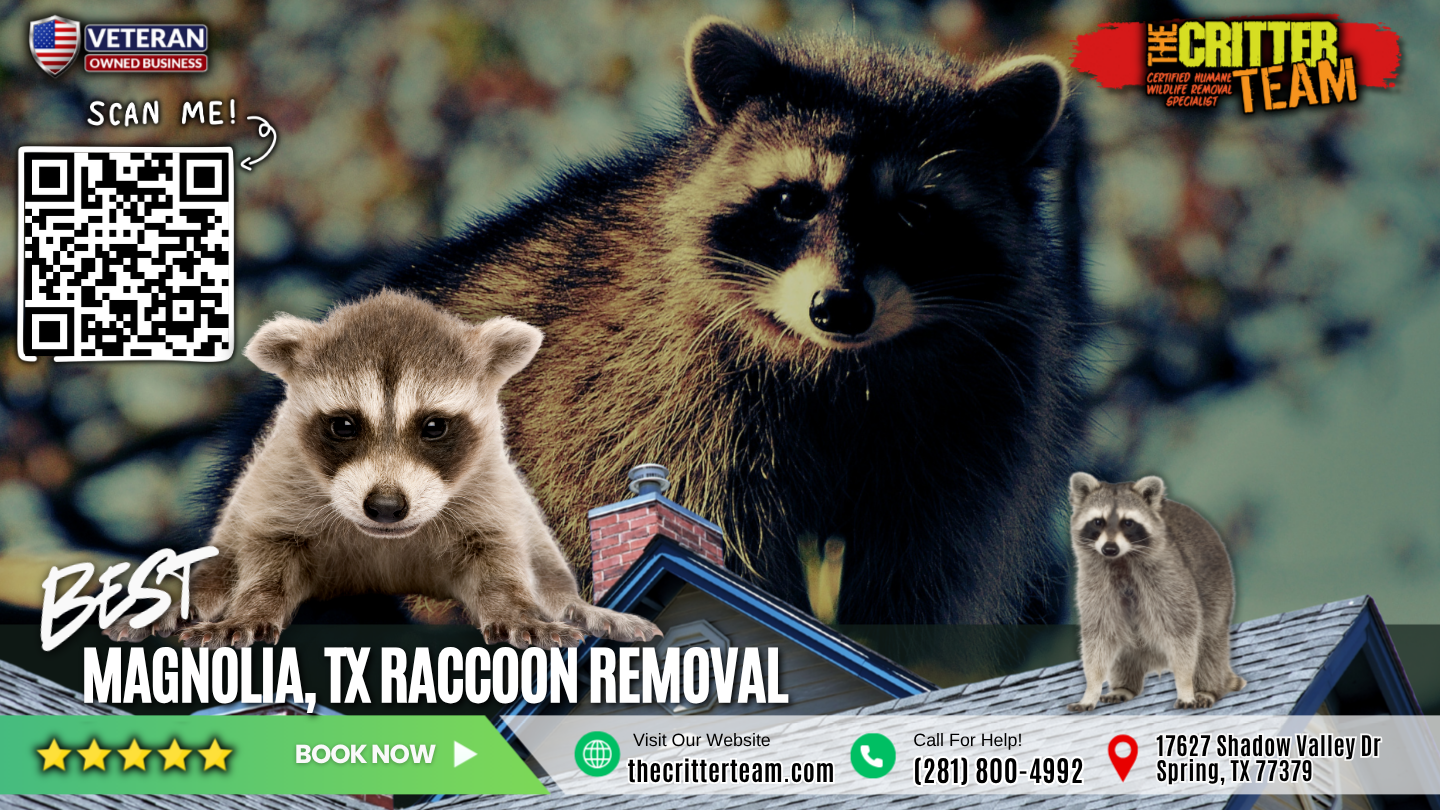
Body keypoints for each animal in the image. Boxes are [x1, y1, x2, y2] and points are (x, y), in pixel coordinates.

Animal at [108, 291, 660, 649]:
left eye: (434, 425)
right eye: (344, 425)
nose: (387, 506)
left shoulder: (487, 490)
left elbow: (497, 560)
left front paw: (517, 609)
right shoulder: (283, 482)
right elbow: (268, 560)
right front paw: (253, 608)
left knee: (545, 565)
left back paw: (578, 606)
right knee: (219, 564)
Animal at [215, 18, 1093, 624]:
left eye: (915, 215)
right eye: (791, 201)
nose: (838, 307)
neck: (844, 366)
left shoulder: (963, 445)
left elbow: (914, 582)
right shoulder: (661, 402)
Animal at [1066, 473, 1245, 711]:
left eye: (1128, 522)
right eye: (1098, 521)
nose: (1109, 549)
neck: (1121, 560)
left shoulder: (1168, 574)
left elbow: (1182, 632)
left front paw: (1185, 685)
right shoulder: (1094, 582)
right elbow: (1099, 636)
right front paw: (1091, 689)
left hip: (1219, 588)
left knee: (1210, 644)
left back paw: (1208, 688)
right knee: (1124, 651)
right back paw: (1124, 687)